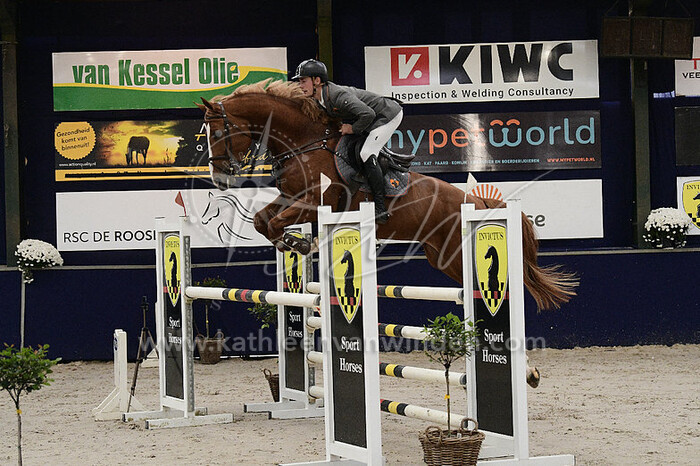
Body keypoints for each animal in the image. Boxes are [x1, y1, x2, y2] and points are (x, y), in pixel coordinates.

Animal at [197, 79, 578, 312]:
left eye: (216, 133)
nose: (219, 180)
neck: (304, 142)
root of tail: (477, 203)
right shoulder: (292, 196)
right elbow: (263, 221)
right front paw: (294, 243)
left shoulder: (316, 202)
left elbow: (274, 222)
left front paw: (302, 243)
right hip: (443, 257)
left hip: (455, 253)